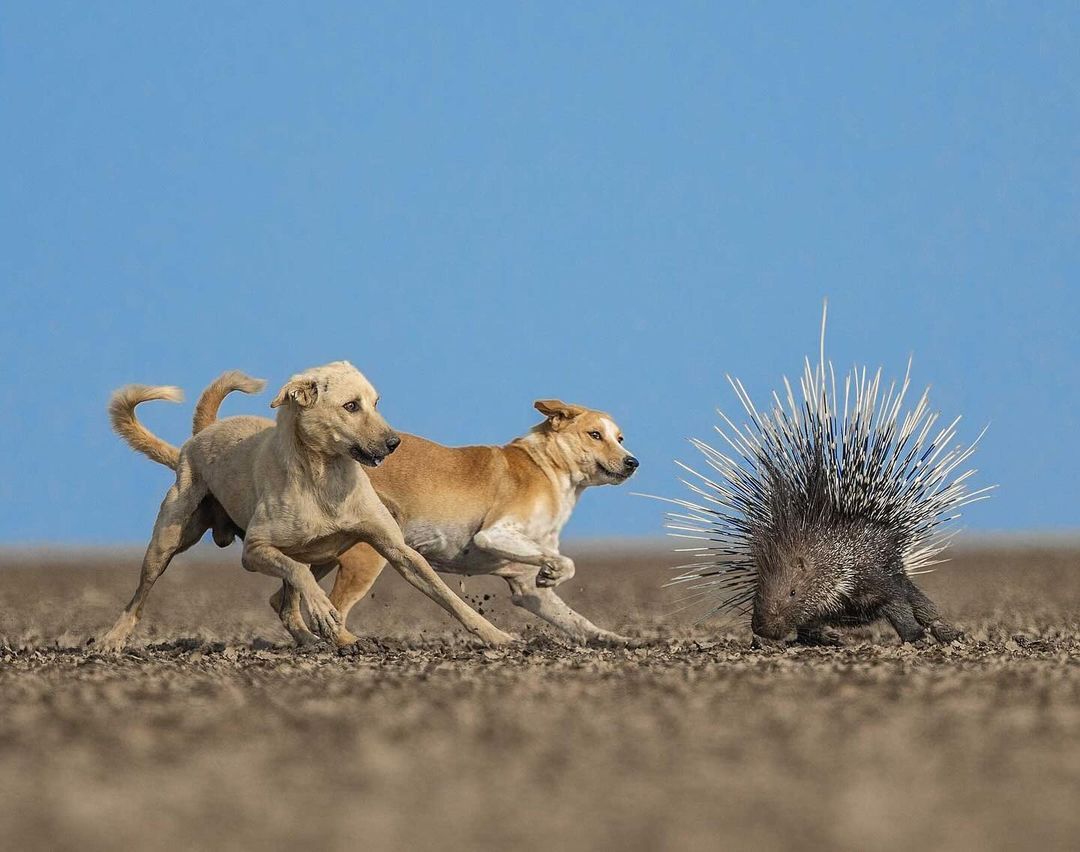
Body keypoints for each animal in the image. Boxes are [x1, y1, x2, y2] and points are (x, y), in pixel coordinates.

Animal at [99, 360, 511, 652]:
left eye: (376, 403)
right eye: (350, 406)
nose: (394, 443)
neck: (325, 478)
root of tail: (200, 436)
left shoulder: (396, 548)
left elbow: (446, 595)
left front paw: (496, 636)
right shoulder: (255, 551)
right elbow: (299, 576)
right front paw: (323, 611)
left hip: (329, 553)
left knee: (285, 602)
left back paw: (325, 640)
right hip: (167, 541)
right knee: (140, 596)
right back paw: (111, 640)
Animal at [194, 377, 635, 643]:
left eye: (619, 437)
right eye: (594, 435)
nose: (633, 462)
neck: (548, 468)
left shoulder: (526, 588)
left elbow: (577, 619)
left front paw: (615, 639)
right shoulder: (494, 533)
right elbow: (562, 560)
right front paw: (554, 570)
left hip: (323, 551)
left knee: (283, 598)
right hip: (365, 559)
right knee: (331, 610)